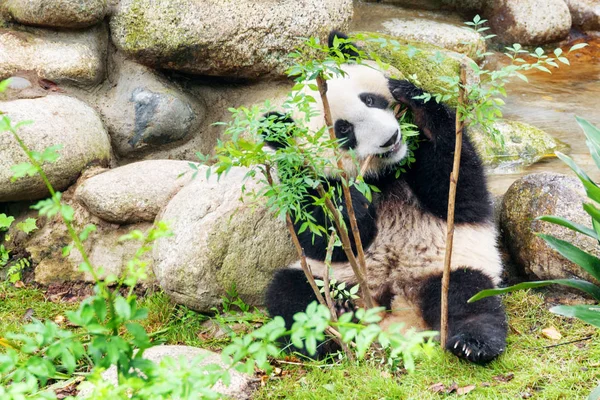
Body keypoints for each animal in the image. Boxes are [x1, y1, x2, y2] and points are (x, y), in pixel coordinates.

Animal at [264, 30, 504, 362]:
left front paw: (412, 99)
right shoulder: (300, 182)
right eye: (343, 130)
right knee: (291, 295)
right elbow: (319, 237)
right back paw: (330, 328)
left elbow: (459, 192)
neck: (384, 174)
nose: (390, 139)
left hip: (446, 264)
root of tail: (396, 312)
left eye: (369, 99)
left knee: (467, 295)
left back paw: (474, 342)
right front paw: (349, 205)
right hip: (332, 278)